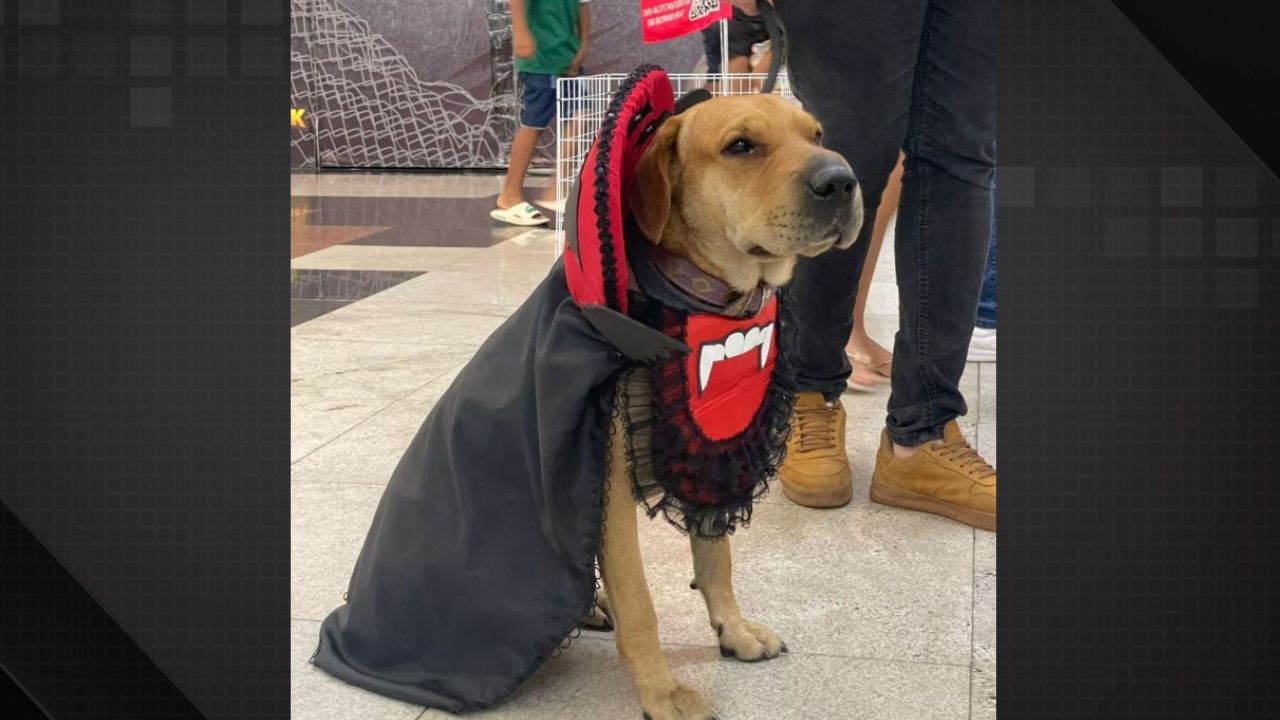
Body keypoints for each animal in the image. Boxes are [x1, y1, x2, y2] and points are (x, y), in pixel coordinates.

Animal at [596, 94, 860, 717]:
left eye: (817, 134)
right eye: (741, 146)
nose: (842, 181)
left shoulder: (713, 452)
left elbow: (717, 560)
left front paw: (733, 630)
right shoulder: (609, 486)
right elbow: (638, 599)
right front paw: (662, 691)